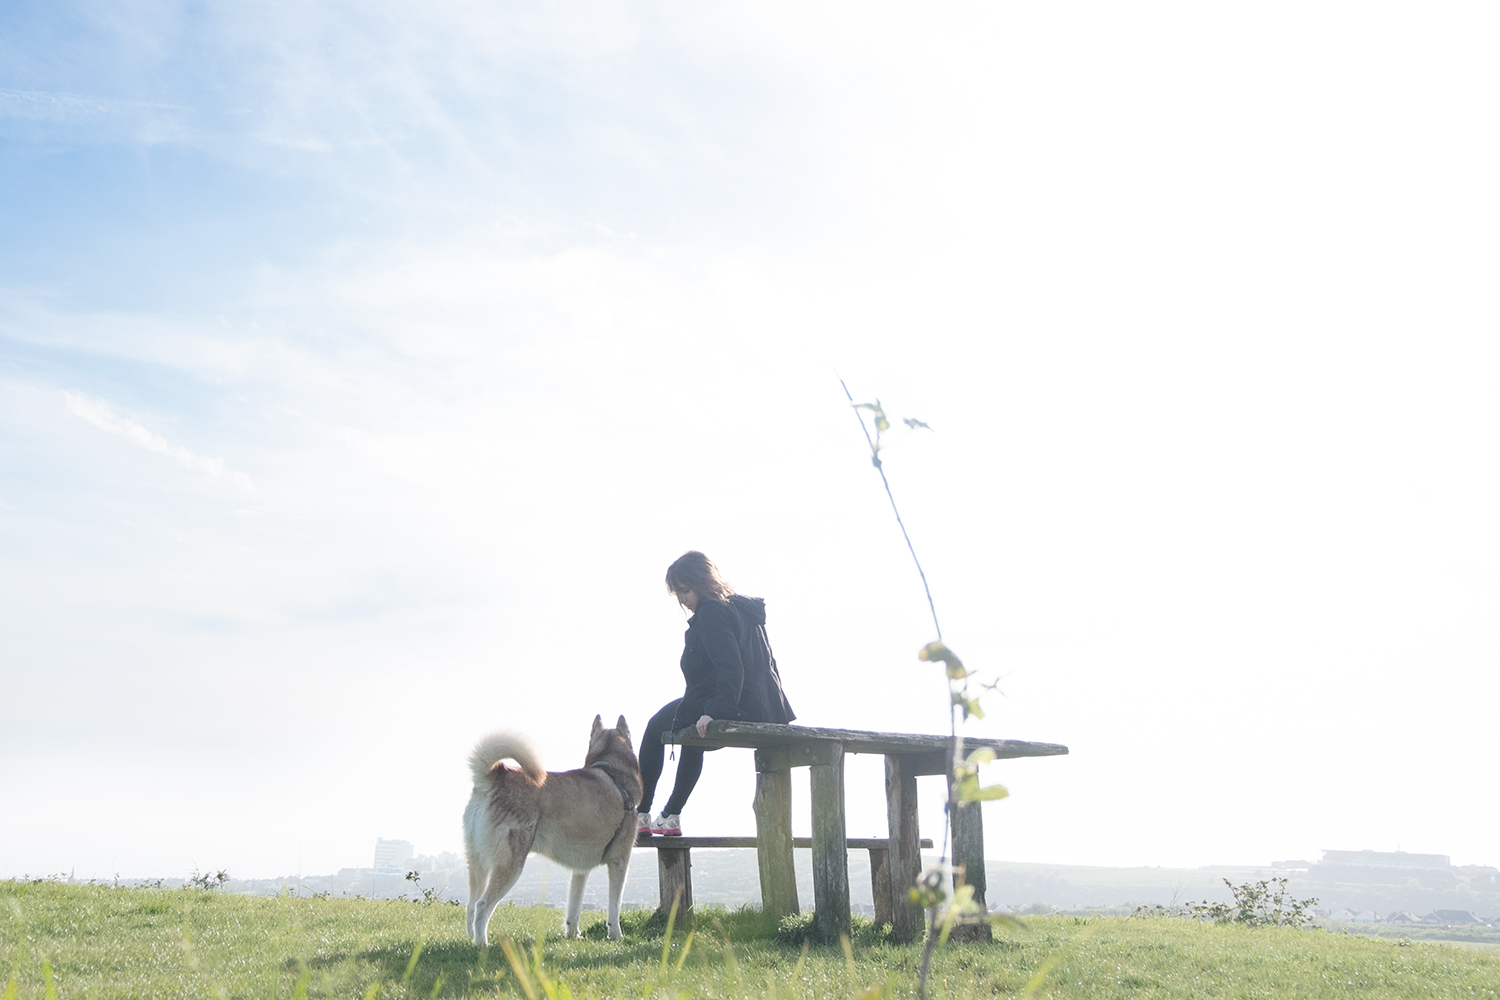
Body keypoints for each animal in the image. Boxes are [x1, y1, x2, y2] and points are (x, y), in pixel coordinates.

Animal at [462, 716, 639, 941]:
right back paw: (482, 944)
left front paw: (573, 935)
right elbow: (615, 906)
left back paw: (471, 940)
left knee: (470, 905)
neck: (613, 774)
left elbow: (574, 907)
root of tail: (495, 775)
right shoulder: (620, 860)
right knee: (482, 905)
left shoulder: (580, 869)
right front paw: (616, 935)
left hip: (478, 865)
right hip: (510, 866)